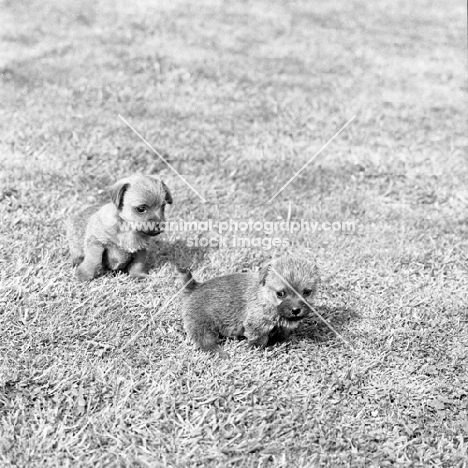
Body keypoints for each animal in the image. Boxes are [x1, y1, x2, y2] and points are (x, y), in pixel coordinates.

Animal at [177, 256, 320, 354]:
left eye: (307, 292)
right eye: (280, 293)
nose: (296, 310)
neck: (266, 297)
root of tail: (195, 286)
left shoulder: (283, 327)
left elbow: (282, 335)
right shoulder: (256, 324)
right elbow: (260, 339)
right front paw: (256, 349)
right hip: (201, 323)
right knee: (204, 341)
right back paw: (220, 353)